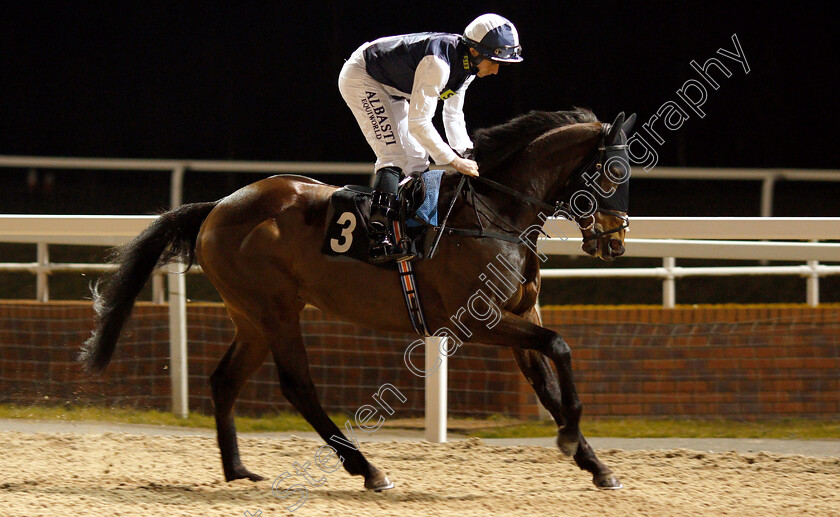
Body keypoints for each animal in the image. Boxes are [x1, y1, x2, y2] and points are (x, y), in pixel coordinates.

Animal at [83, 108, 636, 492]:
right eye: (613, 172)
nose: (615, 241)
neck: (493, 214)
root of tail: (219, 205)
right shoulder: (479, 321)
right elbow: (560, 346)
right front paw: (571, 440)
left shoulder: (520, 315)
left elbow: (548, 383)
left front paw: (595, 464)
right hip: (275, 310)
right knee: (297, 385)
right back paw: (367, 468)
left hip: (252, 317)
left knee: (224, 380)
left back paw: (238, 469)